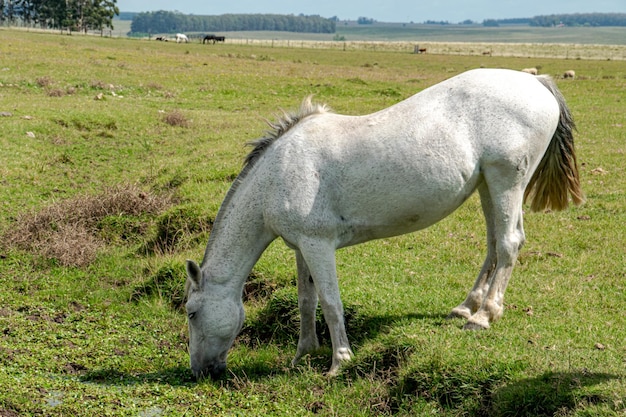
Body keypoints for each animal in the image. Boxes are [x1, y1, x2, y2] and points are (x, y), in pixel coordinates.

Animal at [183, 69, 584, 380]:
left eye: (191, 312)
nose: (200, 370)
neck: (278, 173)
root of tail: (535, 81)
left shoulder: (318, 245)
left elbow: (330, 301)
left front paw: (339, 362)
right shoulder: (302, 247)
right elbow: (305, 300)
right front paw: (303, 354)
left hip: (505, 181)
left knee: (508, 243)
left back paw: (484, 316)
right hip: (488, 185)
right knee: (495, 244)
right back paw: (466, 306)